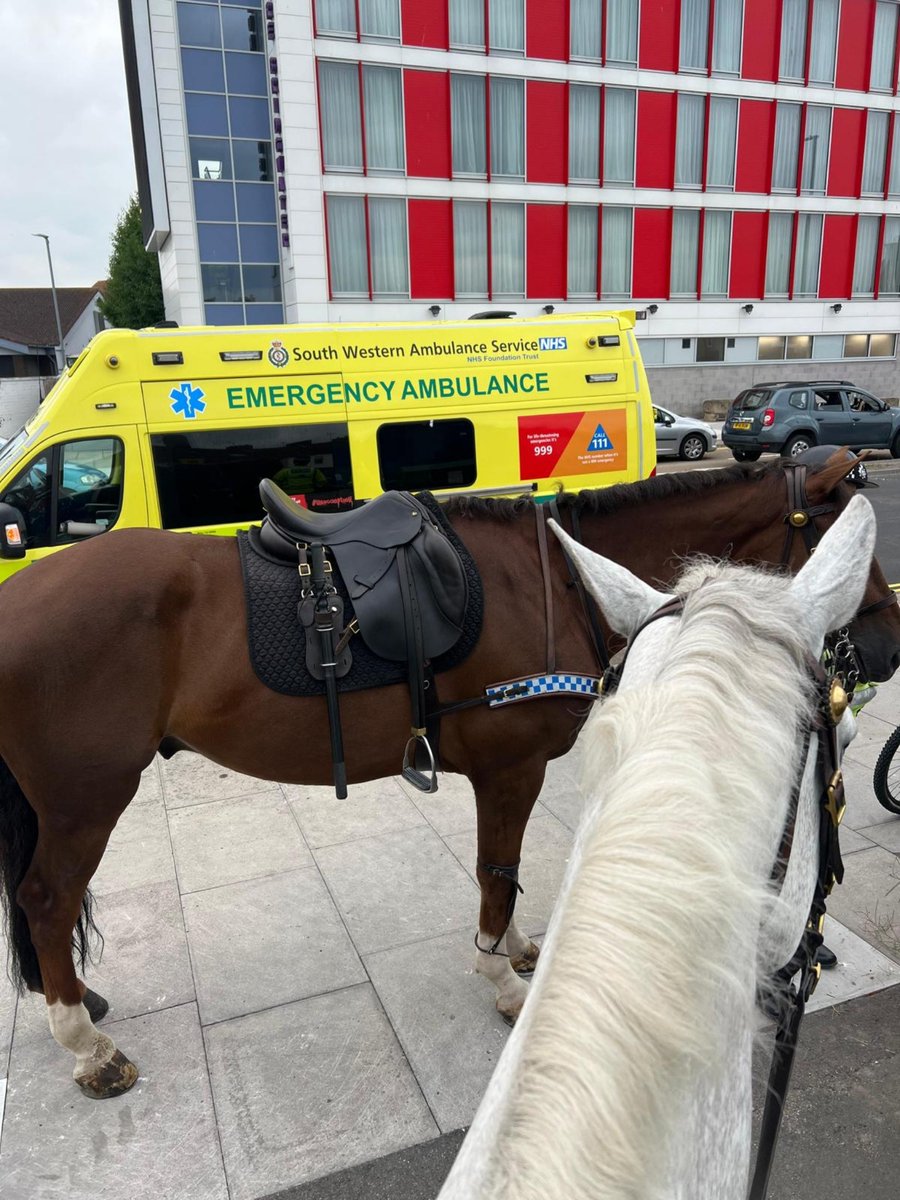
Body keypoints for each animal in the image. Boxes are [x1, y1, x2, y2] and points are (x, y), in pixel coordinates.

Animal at [0, 451, 897, 1099]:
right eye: (845, 543)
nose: (885, 648)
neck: (560, 578)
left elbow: (506, 870)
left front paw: (521, 948)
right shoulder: (510, 768)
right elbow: (497, 870)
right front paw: (501, 975)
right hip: (87, 800)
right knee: (47, 899)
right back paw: (86, 1043)